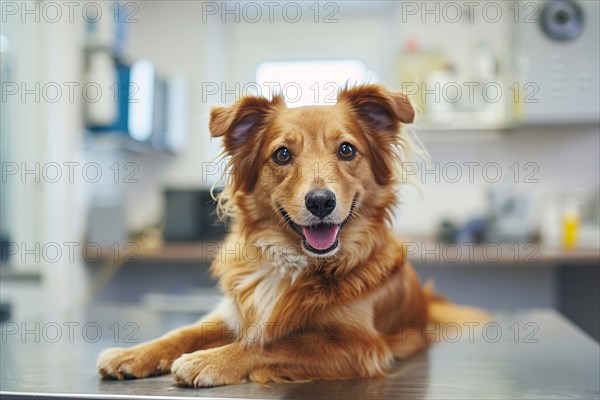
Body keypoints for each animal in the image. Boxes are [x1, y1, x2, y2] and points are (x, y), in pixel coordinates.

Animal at [96, 84, 486, 388]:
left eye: (347, 150)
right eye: (282, 154)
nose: (321, 201)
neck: (292, 261)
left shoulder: (361, 347)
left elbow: (269, 344)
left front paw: (206, 360)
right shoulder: (233, 313)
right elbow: (181, 333)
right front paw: (132, 353)